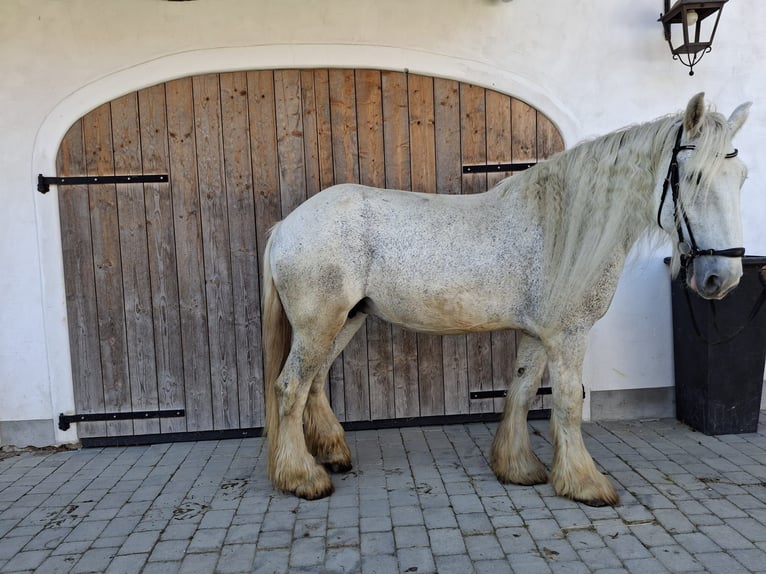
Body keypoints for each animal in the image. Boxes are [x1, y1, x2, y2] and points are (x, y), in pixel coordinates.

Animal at [261, 93, 751, 506]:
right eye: (694, 177)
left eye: (742, 177)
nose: (722, 277)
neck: (562, 229)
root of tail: (287, 225)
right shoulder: (568, 336)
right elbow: (567, 403)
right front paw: (585, 483)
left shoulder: (538, 333)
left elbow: (521, 390)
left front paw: (518, 468)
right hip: (319, 324)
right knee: (290, 388)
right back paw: (303, 478)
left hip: (345, 320)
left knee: (314, 383)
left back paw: (332, 455)